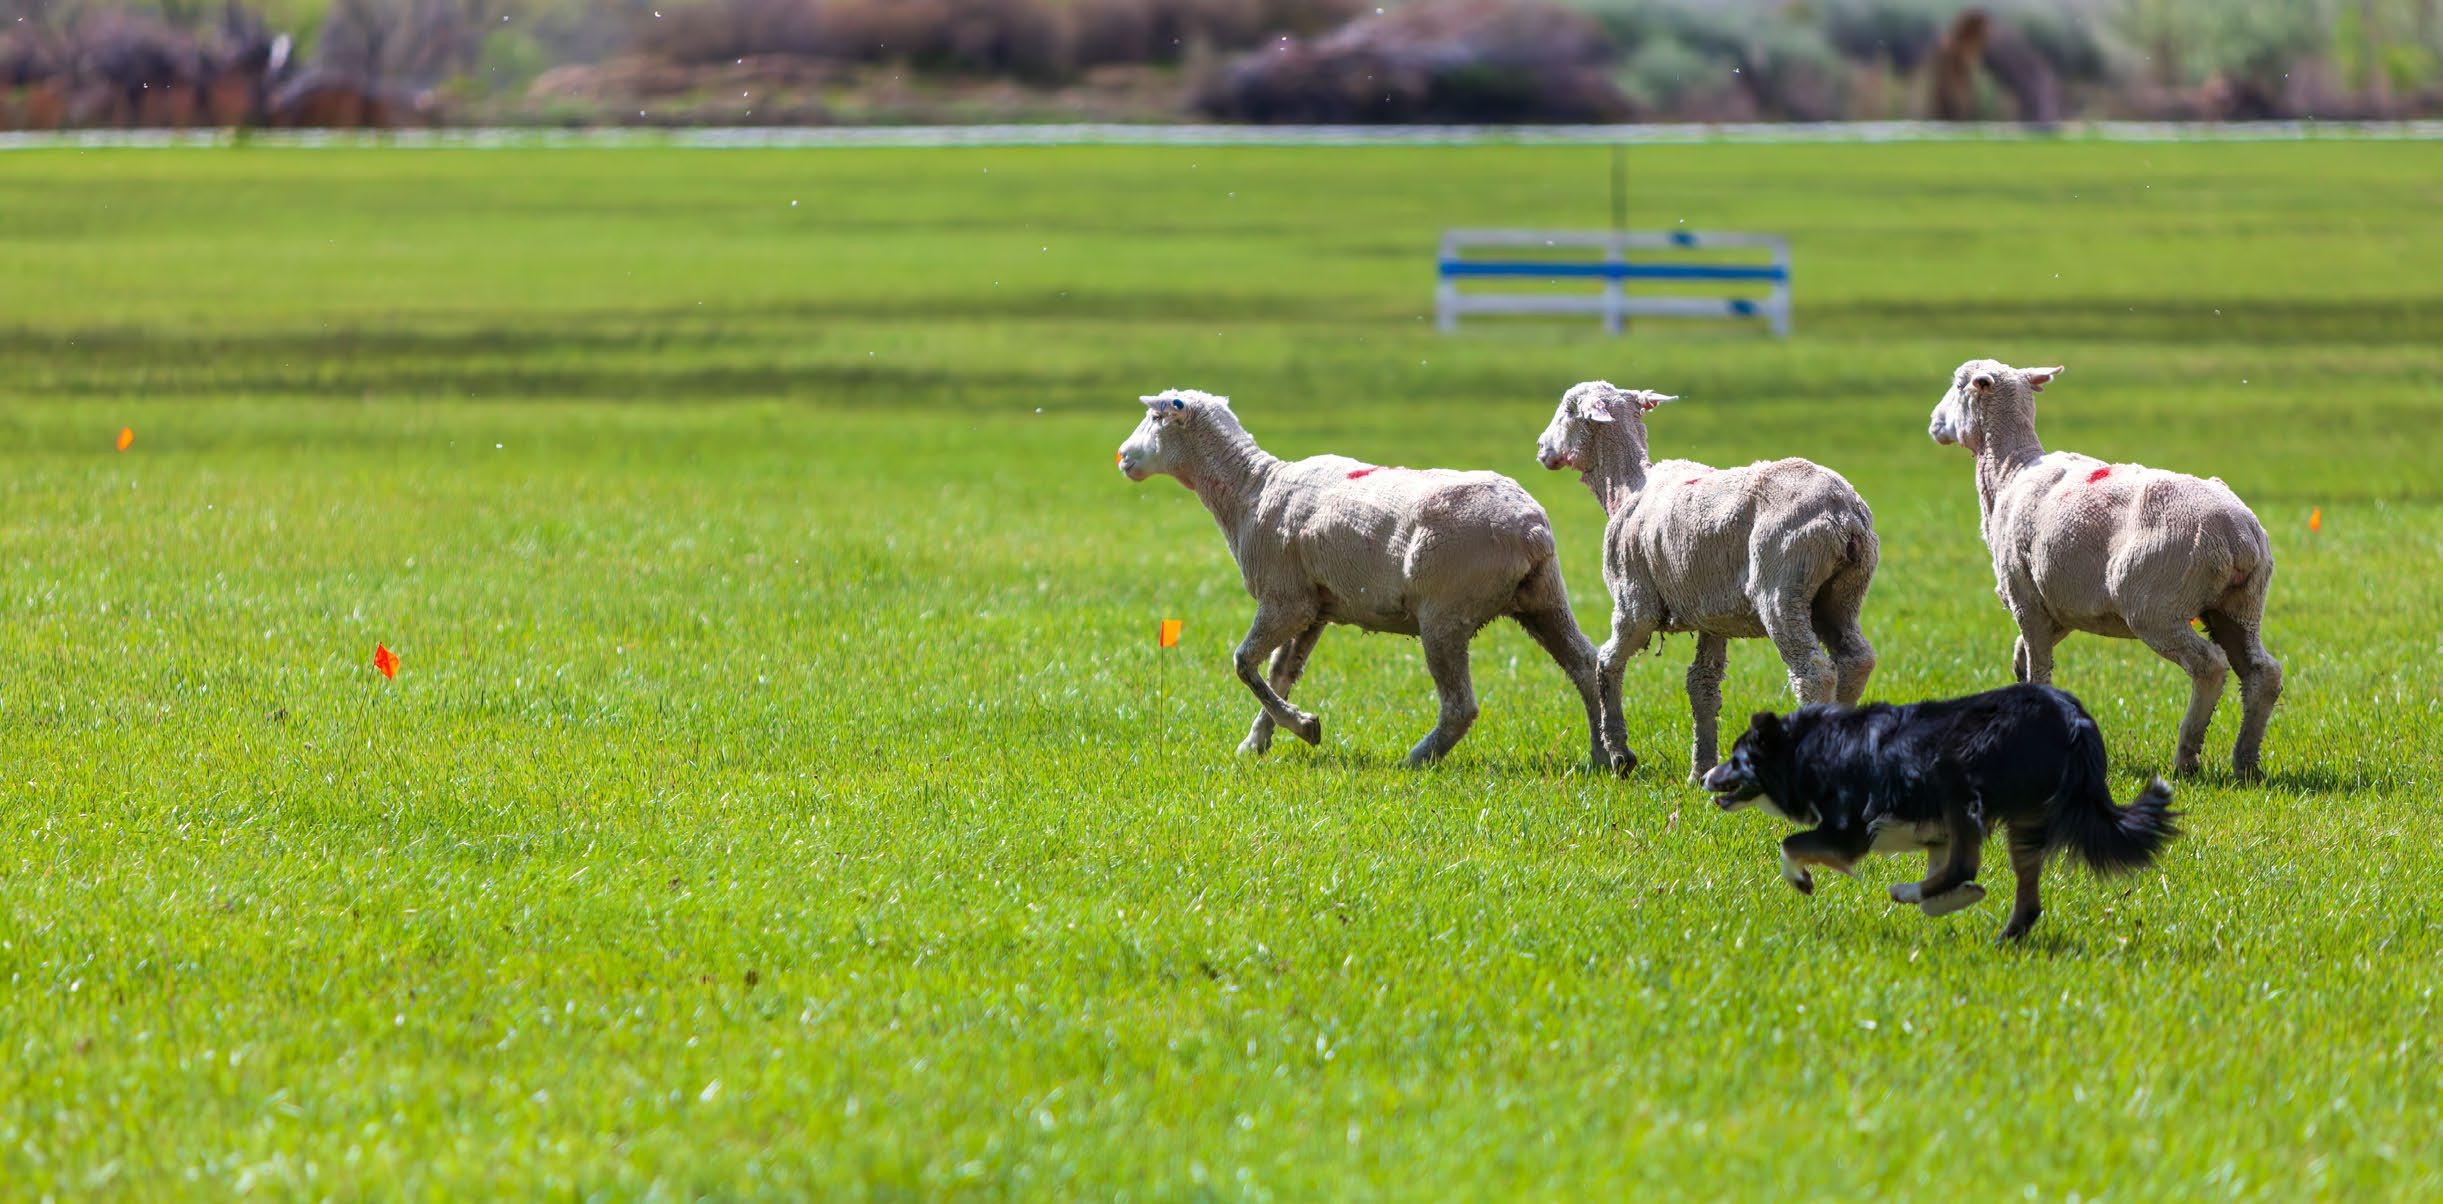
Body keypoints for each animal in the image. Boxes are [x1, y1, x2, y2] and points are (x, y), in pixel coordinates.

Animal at [1117, 389, 1632, 773]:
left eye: (1156, 418)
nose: (1122, 458)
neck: (1253, 489)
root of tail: (1530, 530)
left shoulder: (1285, 599)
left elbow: (1244, 662)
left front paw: (1304, 727)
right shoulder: (1315, 607)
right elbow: (1282, 672)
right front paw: (1260, 740)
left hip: (1445, 611)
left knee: (1461, 706)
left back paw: (1417, 759)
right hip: (1543, 597)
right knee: (1585, 665)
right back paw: (1607, 756)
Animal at [1536, 381, 1879, 783]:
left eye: (1567, 409)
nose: (1541, 447)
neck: (1625, 488)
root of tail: (1843, 512)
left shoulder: (1634, 603)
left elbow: (1606, 662)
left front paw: (1620, 755)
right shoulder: (1711, 614)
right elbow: (1702, 685)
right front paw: (1701, 771)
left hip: (1783, 584)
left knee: (1813, 673)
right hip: (1841, 593)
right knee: (1856, 659)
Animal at [1699, 683, 2177, 940]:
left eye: (1736, 760)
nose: (1705, 776)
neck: (1806, 747)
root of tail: (2075, 721)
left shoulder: (1850, 830)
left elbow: (1790, 843)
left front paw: (1801, 880)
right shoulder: (1934, 835)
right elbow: (1945, 881)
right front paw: (1957, 899)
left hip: (1955, 778)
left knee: (1968, 863)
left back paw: (1905, 890)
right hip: (2025, 818)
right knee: (2026, 900)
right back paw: (2002, 939)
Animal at [1928, 359, 2281, 780]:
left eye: (1958, 385)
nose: (1933, 422)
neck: (2009, 471)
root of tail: (2238, 534)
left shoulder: (2024, 596)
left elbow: (2040, 670)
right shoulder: (2059, 604)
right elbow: (2025, 657)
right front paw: (2017, 673)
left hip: (2156, 605)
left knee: (2210, 666)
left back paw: (2187, 758)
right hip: (2239, 605)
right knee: (2263, 673)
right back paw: (2246, 761)